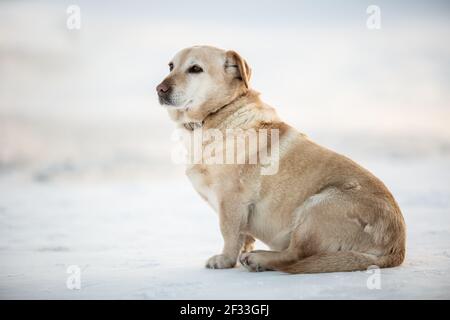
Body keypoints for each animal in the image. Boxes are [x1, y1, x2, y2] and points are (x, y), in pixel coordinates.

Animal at [156, 45, 406, 274]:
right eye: (171, 66)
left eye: (195, 69)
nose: (160, 89)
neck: (216, 115)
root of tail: (397, 248)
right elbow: (244, 236)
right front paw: (240, 253)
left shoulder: (232, 200)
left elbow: (229, 233)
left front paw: (224, 260)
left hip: (317, 207)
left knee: (295, 256)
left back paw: (260, 259)